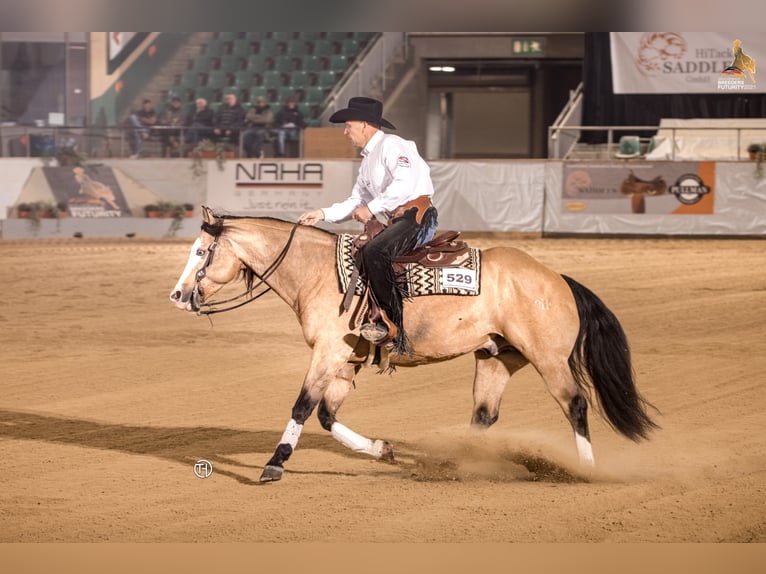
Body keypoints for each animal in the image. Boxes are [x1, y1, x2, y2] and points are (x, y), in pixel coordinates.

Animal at [169, 207, 657, 482]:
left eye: (201, 252)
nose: (177, 295)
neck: (318, 271)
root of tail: (558, 279)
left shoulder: (327, 352)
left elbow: (303, 407)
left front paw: (275, 464)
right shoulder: (346, 359)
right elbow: (327, 415)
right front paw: (381, 450)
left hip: (549, 360)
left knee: (575, 405)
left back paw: (587, 472)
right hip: (496, 357)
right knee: (484, 415)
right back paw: (455, 466)